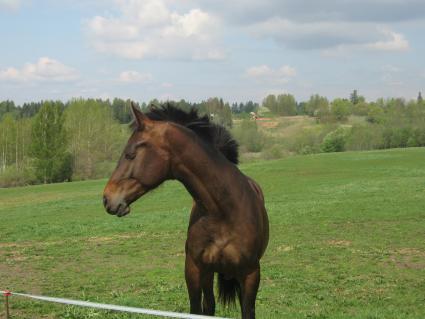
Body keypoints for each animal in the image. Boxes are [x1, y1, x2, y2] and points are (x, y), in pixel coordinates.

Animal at [102, 104, 268, 318]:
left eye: (130, 154)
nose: (107, 198)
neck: (224, 212)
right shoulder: (195, 270)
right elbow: (197, 309)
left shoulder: (250, 274)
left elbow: (248, 311)